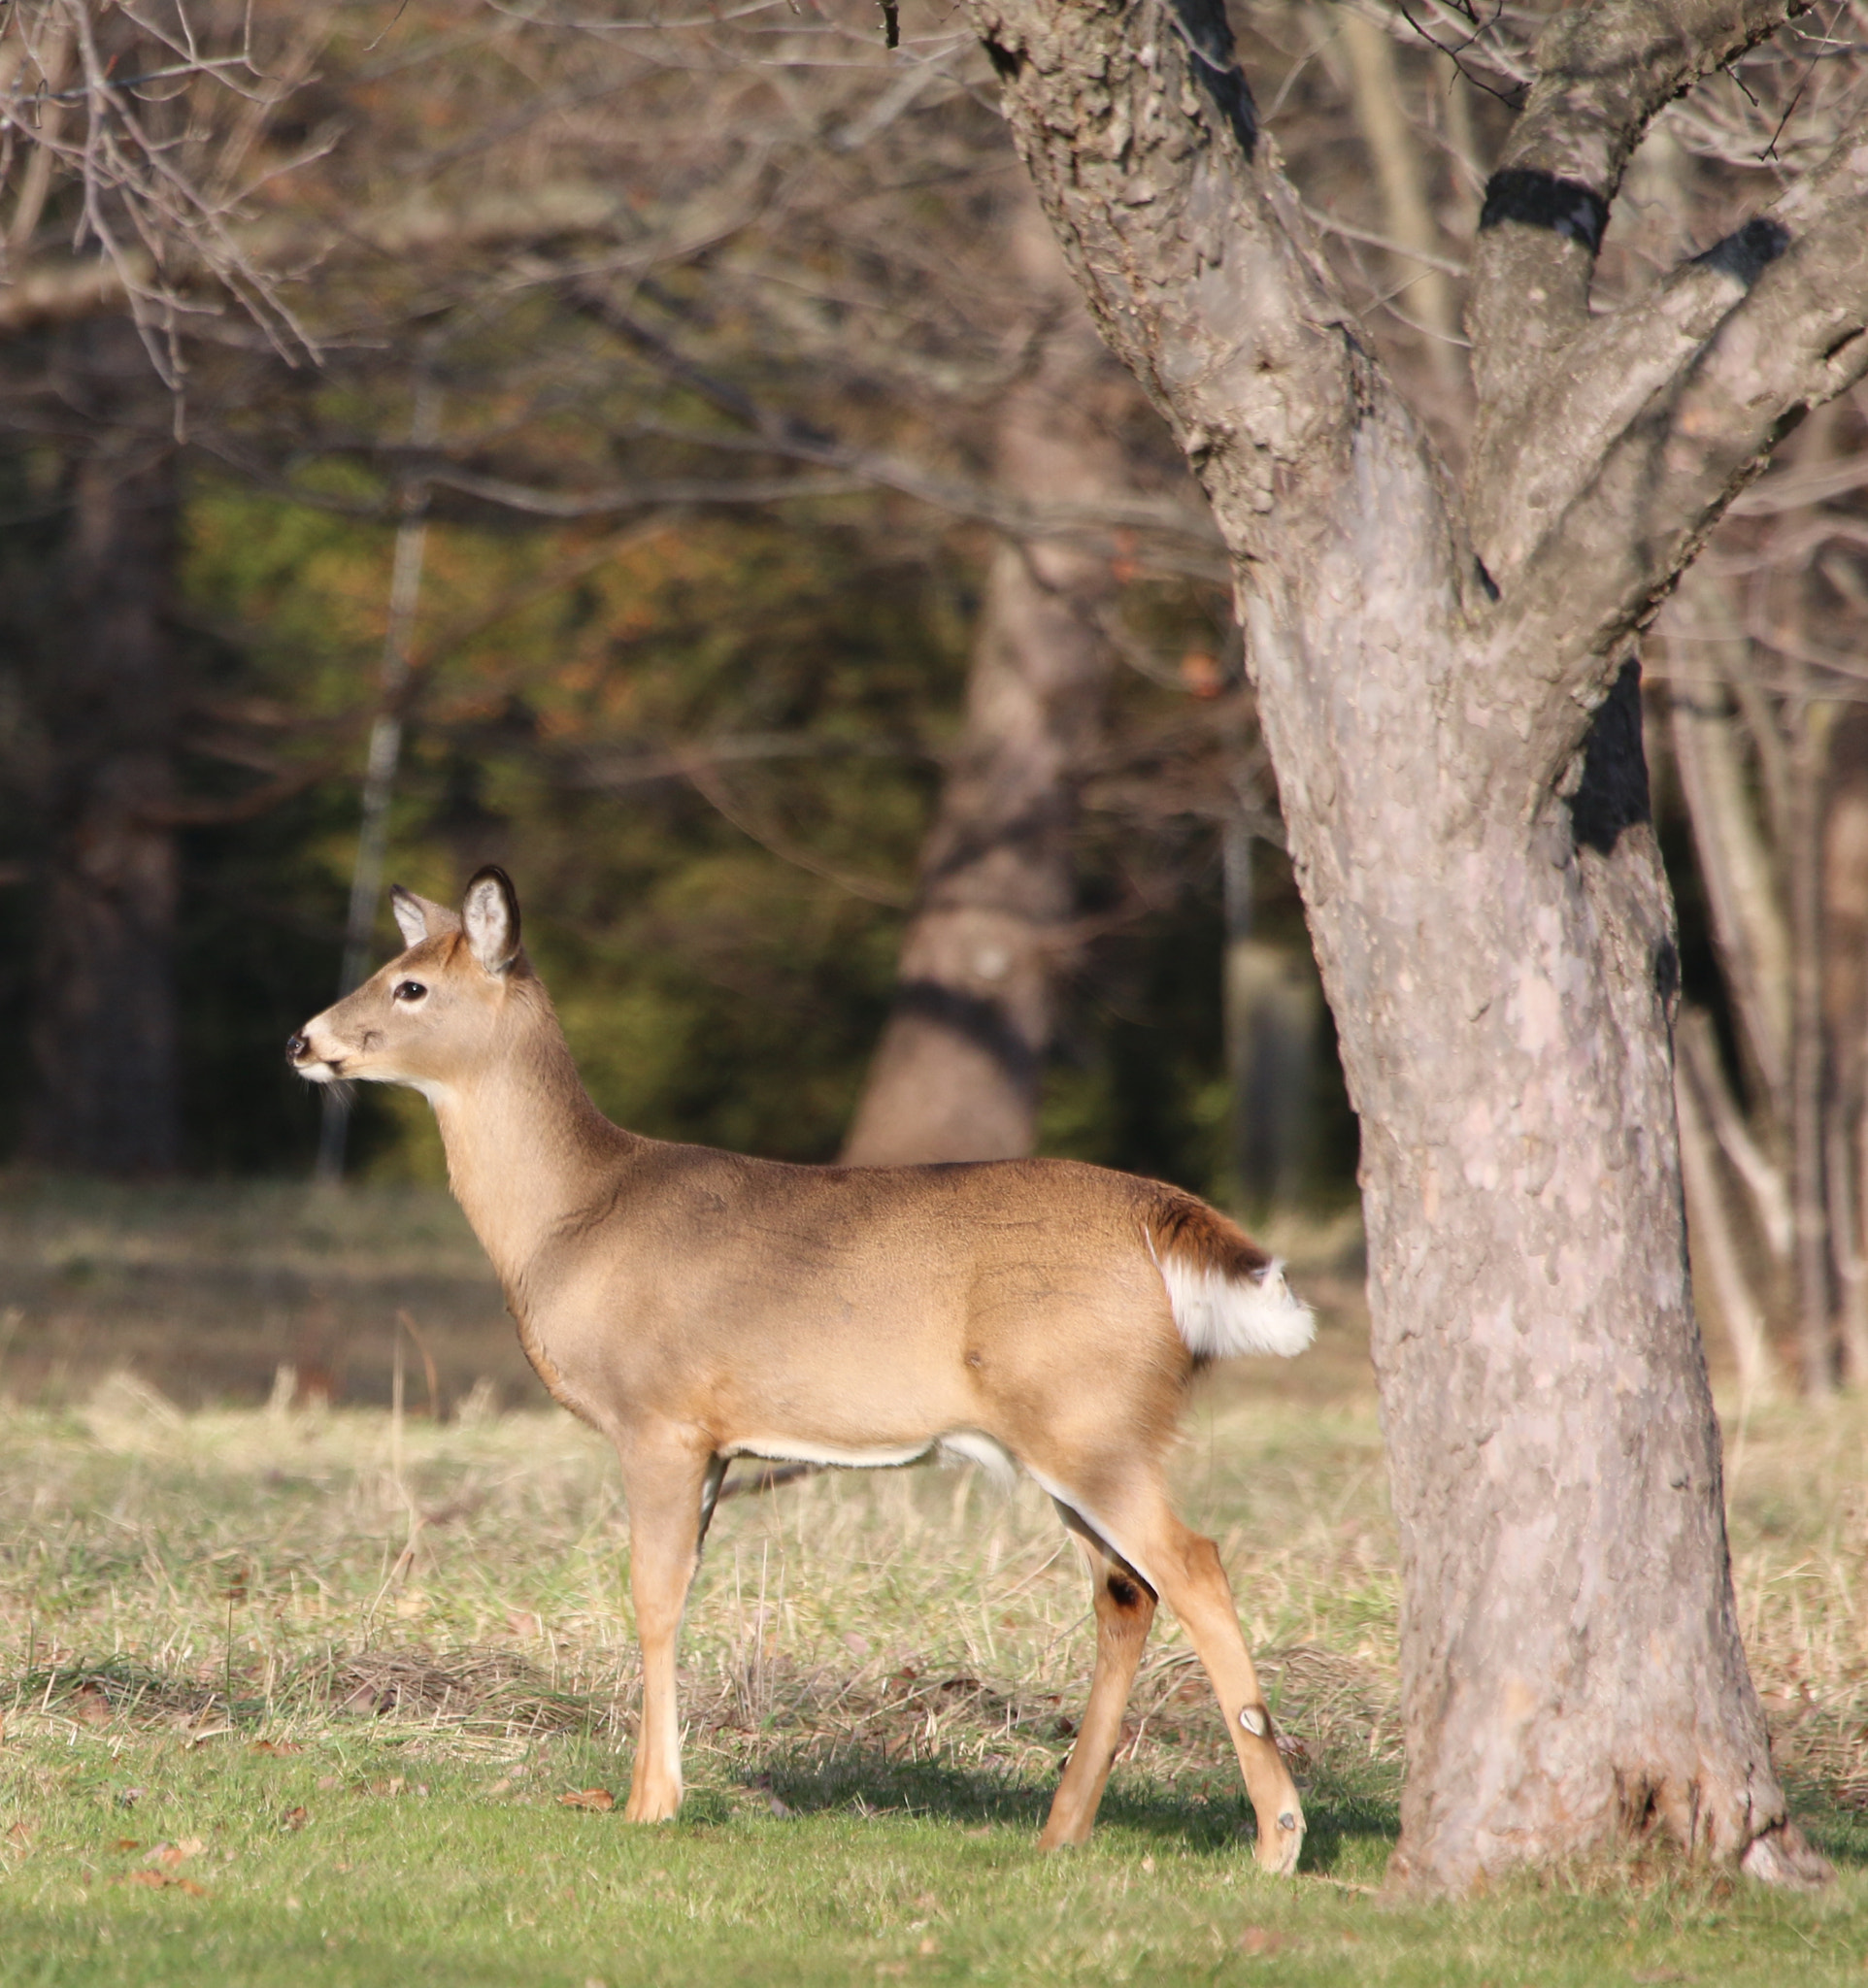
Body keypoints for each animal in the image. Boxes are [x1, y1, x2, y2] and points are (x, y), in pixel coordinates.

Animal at [288, 866, 1313, 1860]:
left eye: (410, 985)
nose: (302, 1040)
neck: (573, 1219)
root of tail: (1169, 1222)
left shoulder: (658, 1417)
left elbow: (650, 1596)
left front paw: (650, 1805)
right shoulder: (717, 1441)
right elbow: (680, 1591)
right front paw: (657, 1789)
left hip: (1089, 1418)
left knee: (1194, 1564)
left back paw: (1277, 1838)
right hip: (1074, 1433)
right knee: (1127, 1591)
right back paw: (1061, 1831)